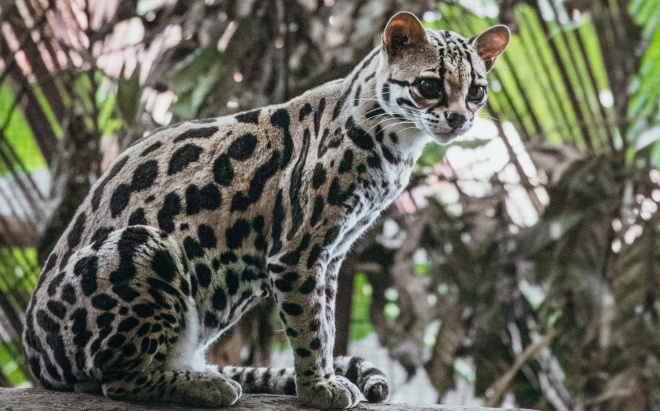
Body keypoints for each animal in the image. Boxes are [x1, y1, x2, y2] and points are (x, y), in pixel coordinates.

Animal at [23, 11, 510, 410]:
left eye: (477, 92)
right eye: (429, 86)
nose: (459, 119)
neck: (397, 144)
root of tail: (35, 359)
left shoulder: (331, 254)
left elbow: (326, 322)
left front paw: (323, 379)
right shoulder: (298, 253)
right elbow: (310, 329)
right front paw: (317, 388)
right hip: (142, 245)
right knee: (117, 381)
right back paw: (206, 386)